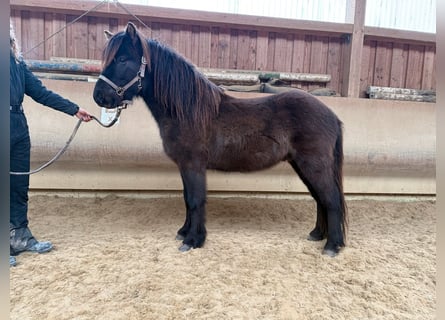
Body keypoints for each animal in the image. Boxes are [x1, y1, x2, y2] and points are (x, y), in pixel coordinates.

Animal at [93, 22, 346, 256]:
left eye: (122, 59)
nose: (99, 97)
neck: (187, 111)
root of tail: (332, 116)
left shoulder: (193, 165)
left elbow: (195, 200)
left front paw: (193, 241)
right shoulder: (185, 166)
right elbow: (187, 198)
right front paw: (184, 232)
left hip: (313, 165)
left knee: (331, 199)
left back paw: (332, 246)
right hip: (302, 166)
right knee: (320, 199)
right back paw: (317, 235)